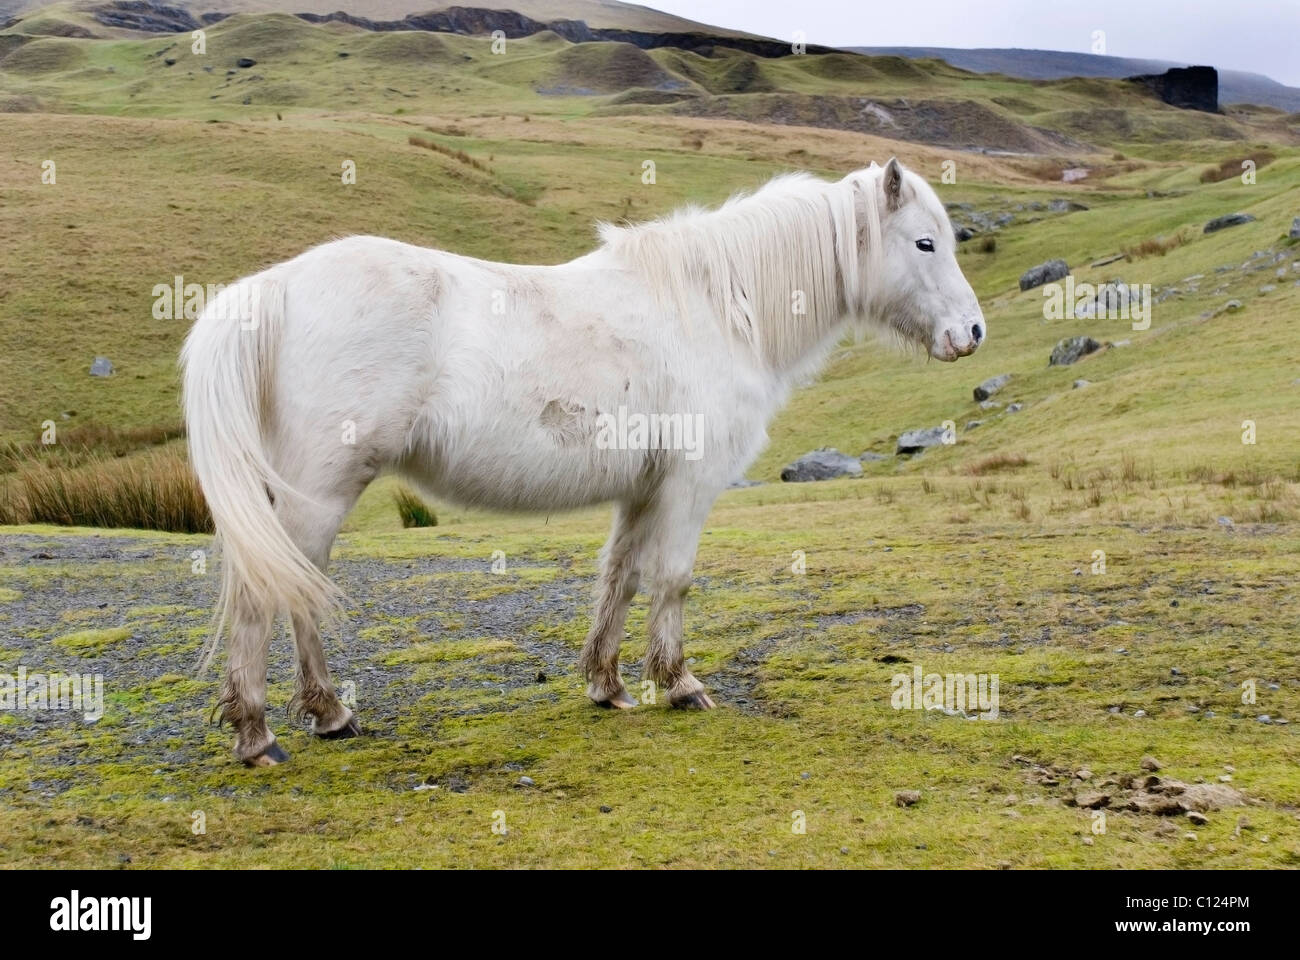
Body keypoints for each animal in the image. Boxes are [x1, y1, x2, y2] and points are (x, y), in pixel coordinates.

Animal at [181, 157, 985, 766]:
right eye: (924, 244)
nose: (972, 333)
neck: (719, 307)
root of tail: (274, 288)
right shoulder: (689, 485)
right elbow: (673, 580)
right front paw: (680, 685)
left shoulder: (643, 490)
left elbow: (620, 580)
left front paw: (608, 685)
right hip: (319, 492)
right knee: (265, 593)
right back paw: (260, 733)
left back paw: (326, 715)